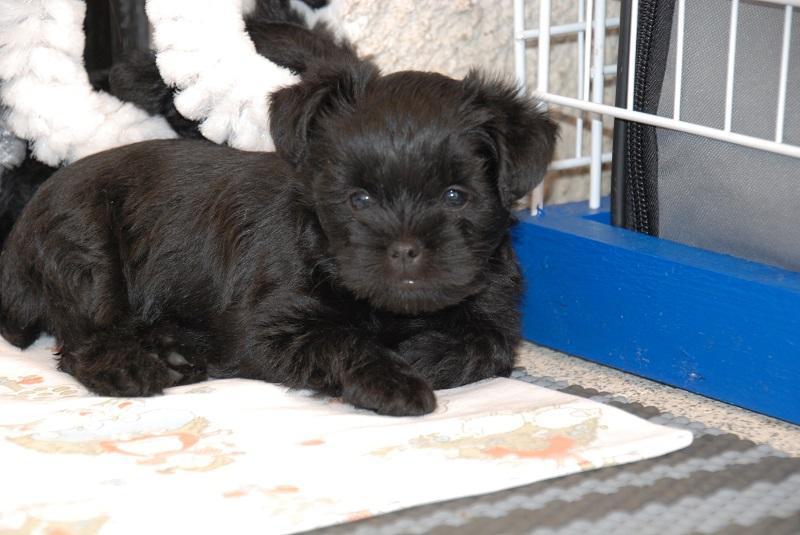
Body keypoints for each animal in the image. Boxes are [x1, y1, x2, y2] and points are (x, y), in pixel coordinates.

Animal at [0, 60, 556, 416]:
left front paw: (421, 354)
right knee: (83, 342)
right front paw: (393, 379)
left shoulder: (494, 309)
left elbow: (487, 345)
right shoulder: (271, 329)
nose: (404, 249)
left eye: (455, 195)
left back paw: (176, 351)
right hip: (88, 252)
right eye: (359, 199)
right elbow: (345, 339)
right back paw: (133, 368)